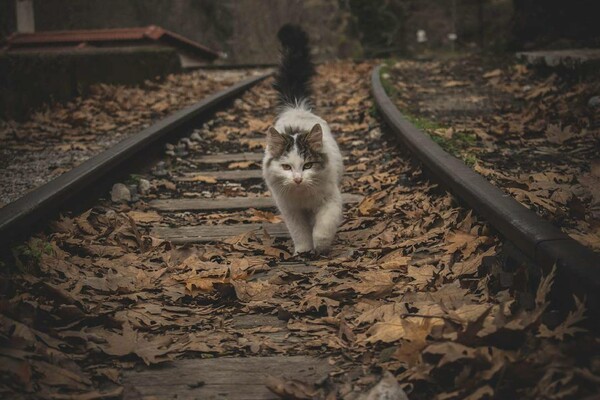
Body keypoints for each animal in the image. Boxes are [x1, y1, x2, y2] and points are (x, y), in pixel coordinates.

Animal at [262, 25, 342, 255]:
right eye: (287, 167)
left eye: (307, 165)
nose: (298, 179)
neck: (302, 195)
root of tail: (295, 106)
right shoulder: (290, 210)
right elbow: (299, 232)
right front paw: (304, 250)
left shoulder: (330, 199)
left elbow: (324, 225)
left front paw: (321, 245)